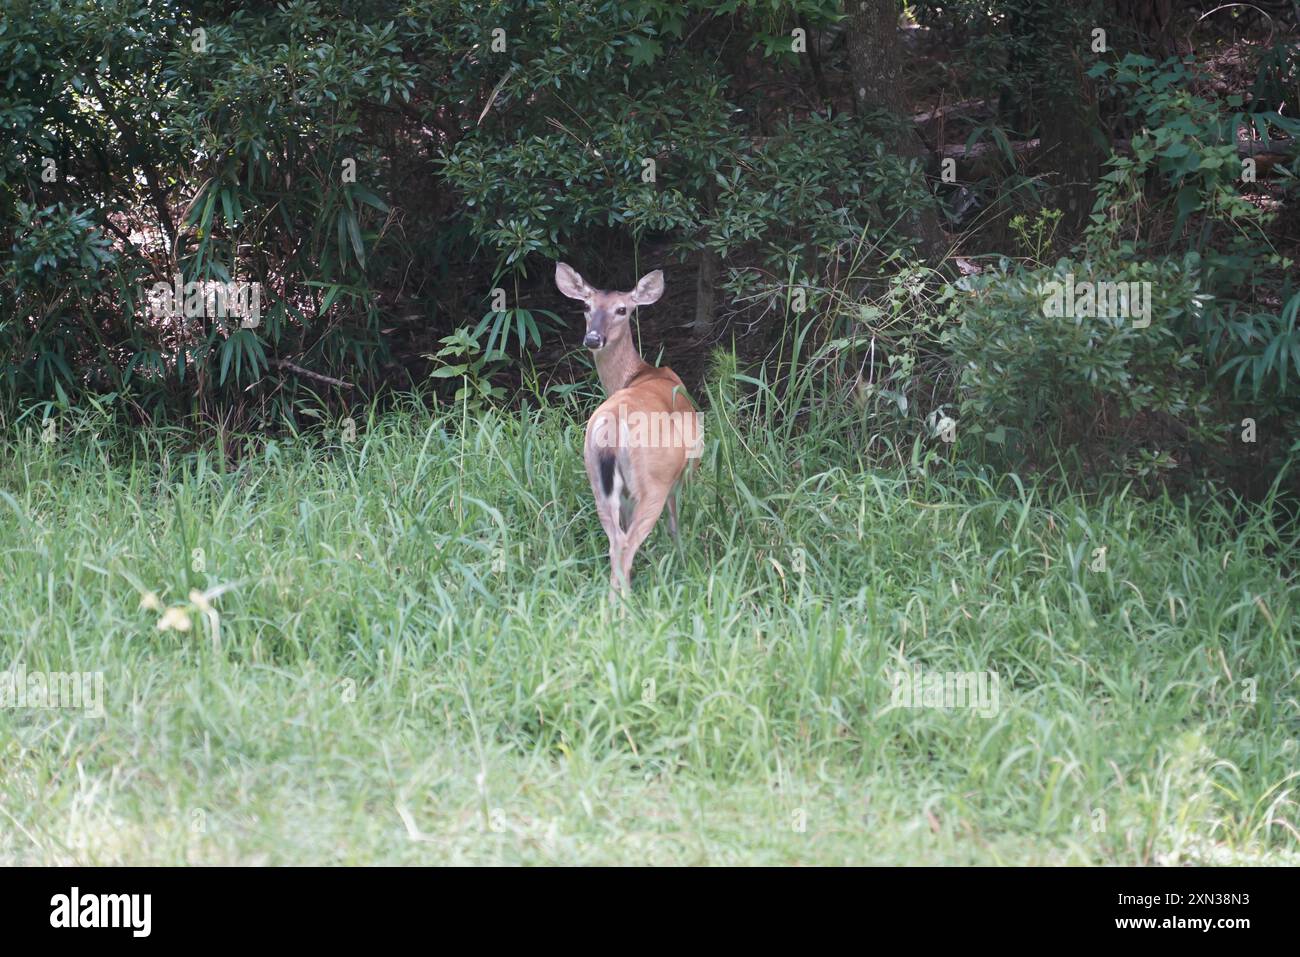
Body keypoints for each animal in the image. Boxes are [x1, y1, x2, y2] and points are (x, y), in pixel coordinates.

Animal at [556, 261, 707, 598]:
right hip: (653, 481)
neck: (639, 373)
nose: (593, 338)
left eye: (622, 309)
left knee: (615, 541)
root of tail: (613, 428)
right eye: (586, 306)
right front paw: (683, 560)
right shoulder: (684, 472)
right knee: (626, 543)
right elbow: (676, 524)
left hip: (597, 481)